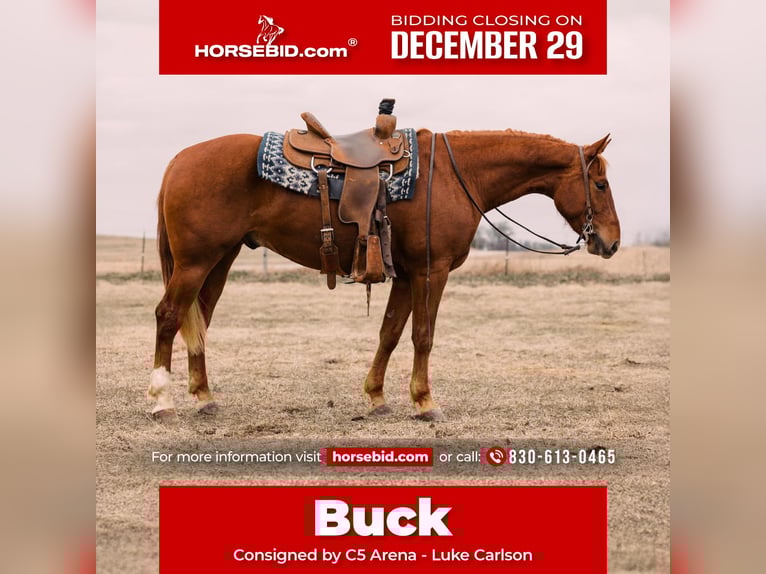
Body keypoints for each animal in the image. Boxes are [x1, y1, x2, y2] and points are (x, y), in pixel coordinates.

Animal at [147, 127, 620, 422]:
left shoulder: (408, 275)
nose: (611, 242)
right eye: (600, 185)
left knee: (199, 320)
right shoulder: (432, 271)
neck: (455, 176)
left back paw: (204, 397)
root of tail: (178, 160)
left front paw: (376, 398)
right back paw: (161, 401)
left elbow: (390, 333)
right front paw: (425, 402)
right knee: (169, 316)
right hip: (195, 263)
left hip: (219, 260)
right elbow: (423, 335)